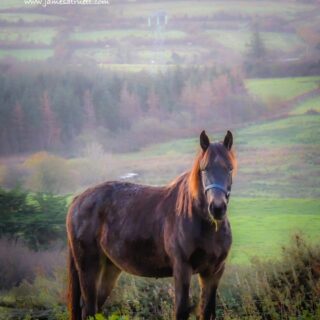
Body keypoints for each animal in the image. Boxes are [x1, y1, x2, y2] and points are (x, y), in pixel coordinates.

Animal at [67, 130, 238, 320]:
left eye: (229, 168)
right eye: (204, 169)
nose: (217, 208)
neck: (204, 226)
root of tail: (78, 200)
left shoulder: (213, 272)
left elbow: (207, 311)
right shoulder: (182, 270)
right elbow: (181, 311)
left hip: (110, 268)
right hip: (88, 267)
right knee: (88, 309)